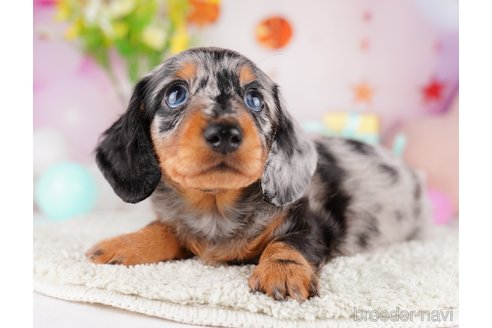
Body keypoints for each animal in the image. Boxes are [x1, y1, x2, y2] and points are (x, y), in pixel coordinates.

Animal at [86, 46, 428, 302]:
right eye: (175, 94)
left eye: (255, 99)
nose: (225, 133)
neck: (215, 208)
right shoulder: (178, 224)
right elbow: (163, 228)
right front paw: (124, 243)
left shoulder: (312, 222)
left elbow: (289, 243)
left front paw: (283, 272)